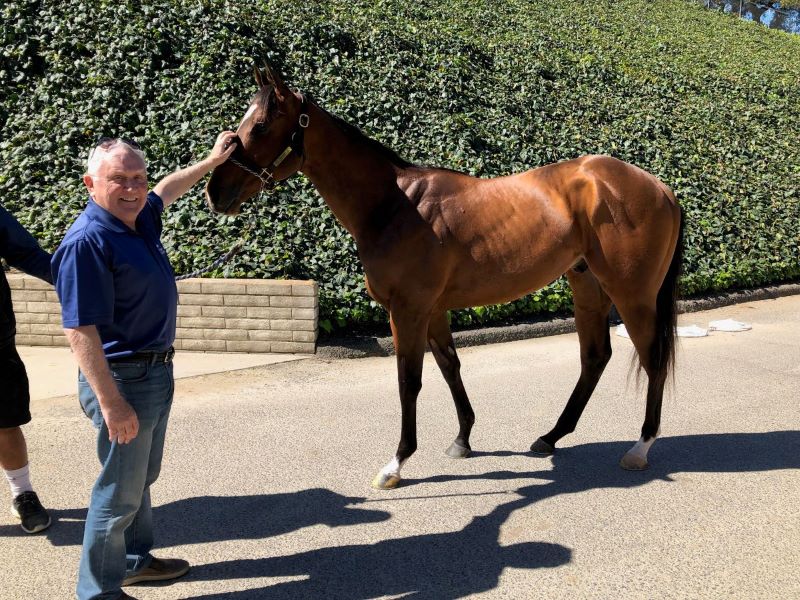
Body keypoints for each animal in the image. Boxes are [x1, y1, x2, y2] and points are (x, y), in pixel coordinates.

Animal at [205, 65, 680, 490]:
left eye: (261, 125)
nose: (215, 192)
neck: (394, 205)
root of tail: (659, 187)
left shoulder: (408, 310)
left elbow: (408, 380)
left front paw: (396, 463)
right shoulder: (432, 310)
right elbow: (450, 367)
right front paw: (462, 440)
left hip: (632, 295)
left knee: (652, 358)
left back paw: (640, 447)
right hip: (588, 286)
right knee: (595, 357)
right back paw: (550, 436)